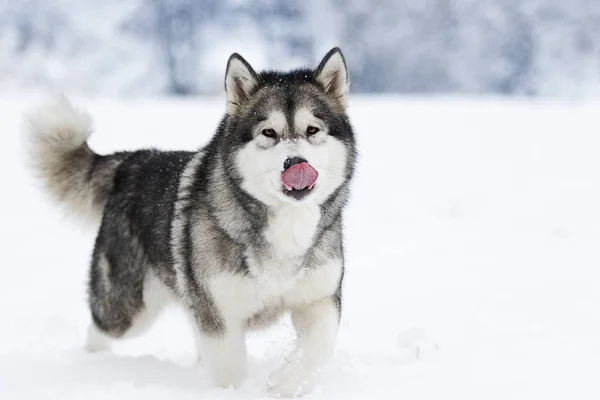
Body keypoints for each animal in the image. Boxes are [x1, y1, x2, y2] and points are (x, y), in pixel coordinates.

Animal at [24, 47, 356, 396]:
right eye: (269, 132)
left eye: (312, 130)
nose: (295, 163)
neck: (286, 223)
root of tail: (133, 161)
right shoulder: (218, 311)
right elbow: (229, 368)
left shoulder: (319, 298)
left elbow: (318, 347)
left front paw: (287, 383)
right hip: (129, 306)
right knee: (100, 330)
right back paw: (92, 367)